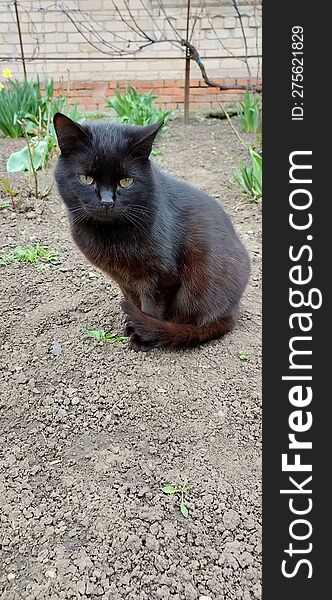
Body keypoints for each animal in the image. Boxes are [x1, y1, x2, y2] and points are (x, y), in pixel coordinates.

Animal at [53, 113, 250, 352]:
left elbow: (150, 308)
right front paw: (133, 325)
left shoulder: (159, 277)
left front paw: (142, 336)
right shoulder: (124, 279)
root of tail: (233, 311)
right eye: (86, 179)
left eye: (126, 181)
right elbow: (134, 301)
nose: (107, 202)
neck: (112, 235)